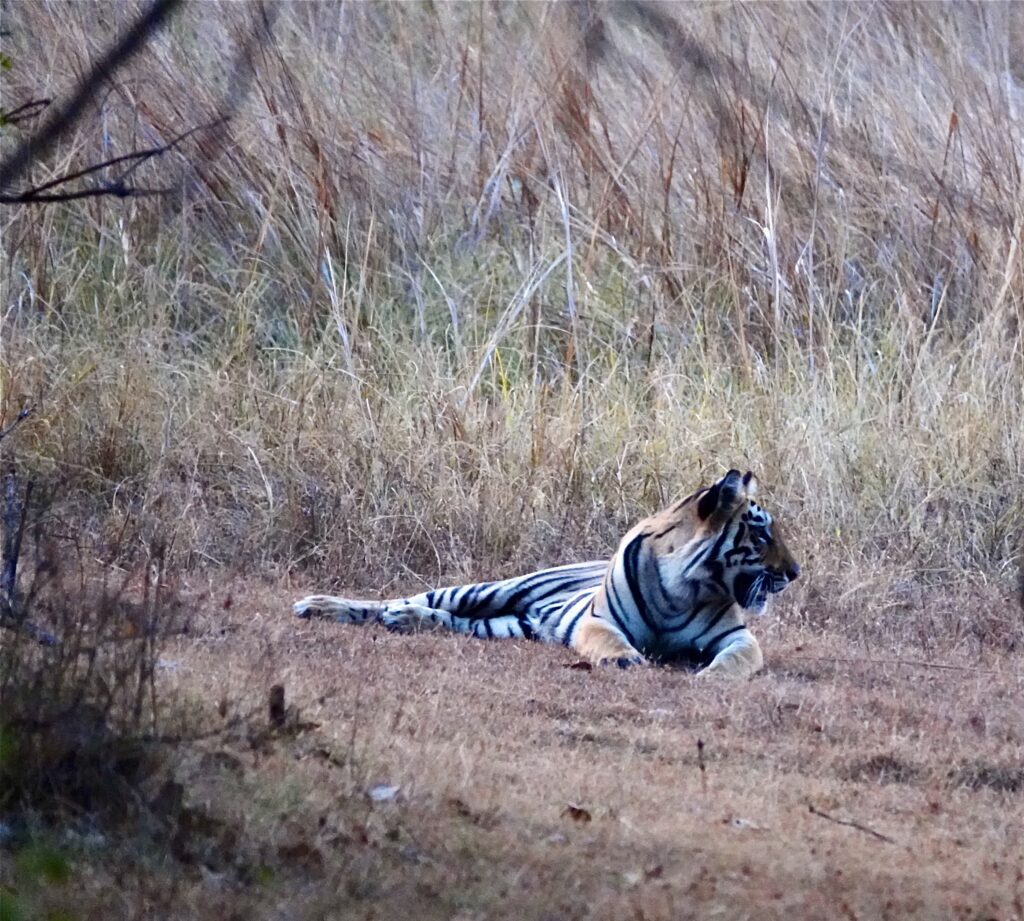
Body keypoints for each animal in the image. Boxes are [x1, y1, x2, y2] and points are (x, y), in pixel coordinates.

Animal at [293, 469, 799, 677]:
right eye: (761, 534)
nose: (795, 573)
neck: (686, 587)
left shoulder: (735, 637)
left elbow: (739, 659)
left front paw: (715, 676)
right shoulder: (600, 620)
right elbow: (610, 641)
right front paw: (624, 659)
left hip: (511, 624)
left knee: (446, 620)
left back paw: (405, 621)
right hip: (486, 590)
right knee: (407, 599)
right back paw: (318, 606)